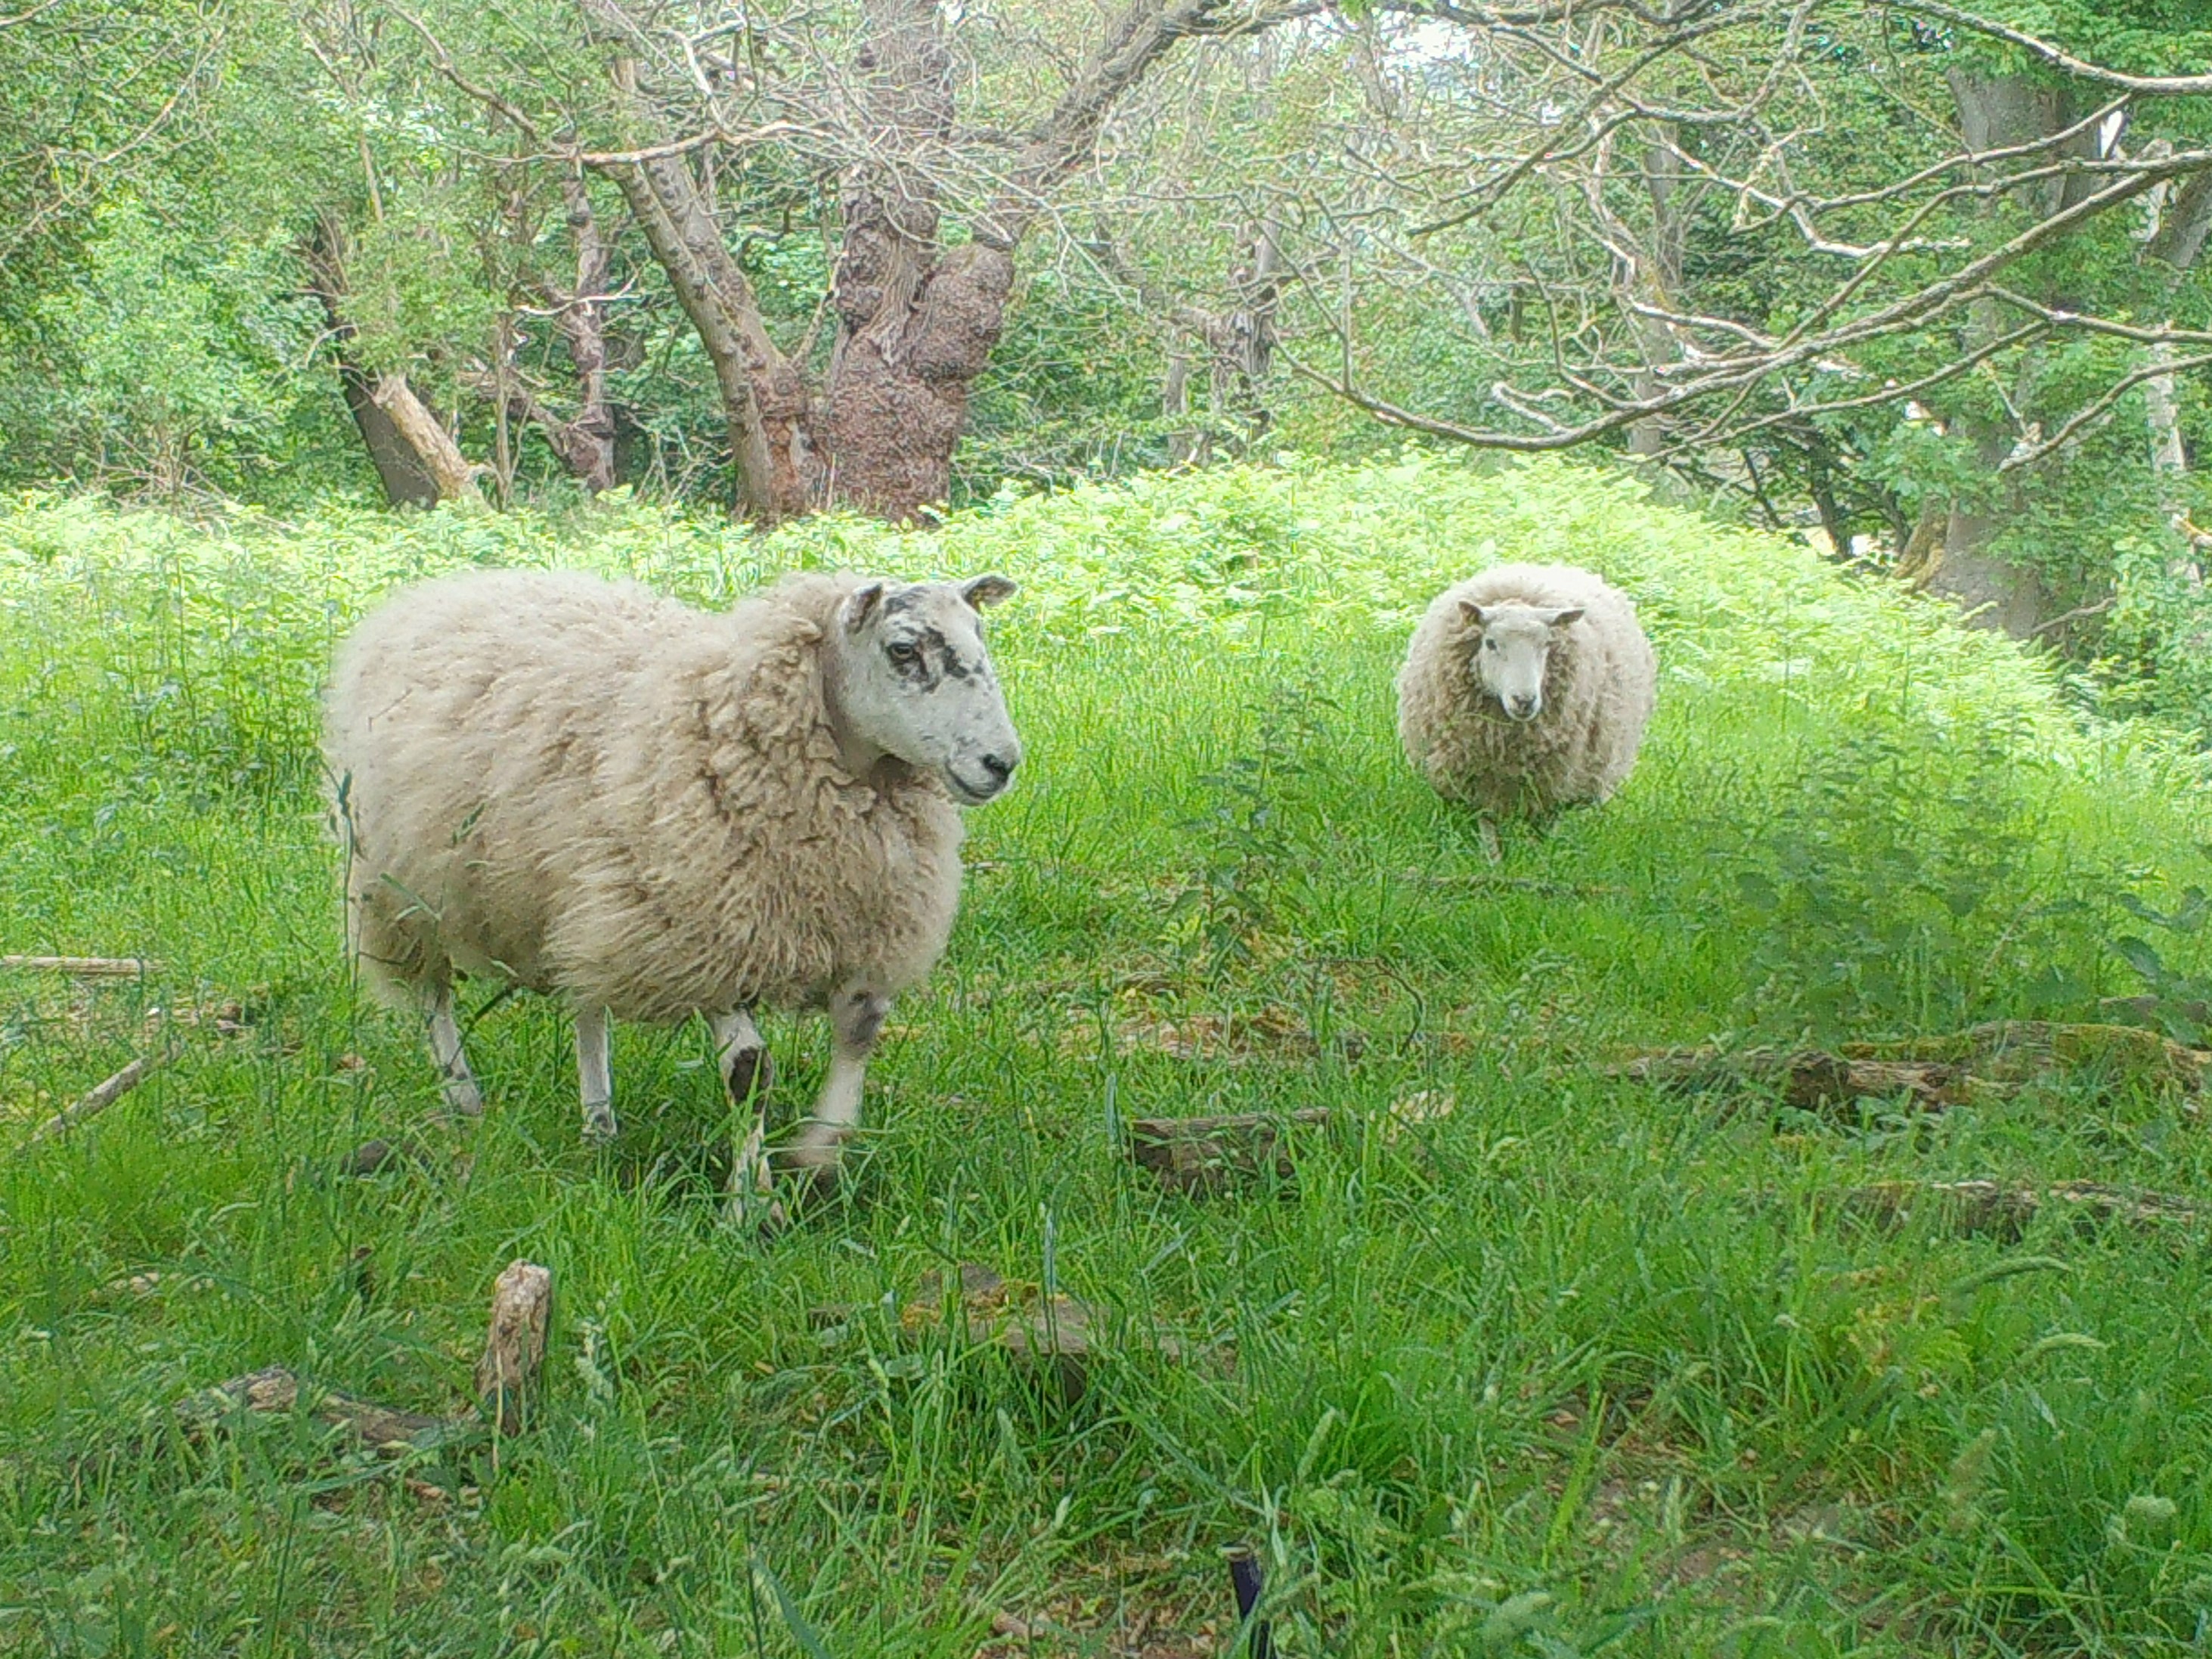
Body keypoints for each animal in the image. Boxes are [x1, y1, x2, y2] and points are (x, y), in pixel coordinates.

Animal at [323, 570, 1026, 1220]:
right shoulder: (707, 935)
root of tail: (443, 588)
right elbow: (750, 1071)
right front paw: (752, 1205)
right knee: (432, 996)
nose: (1002, 763)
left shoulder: (860, 935)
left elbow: (859, 1032)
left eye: (980, 635)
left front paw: (819, 1155)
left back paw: (599, 1123)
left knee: (586, 1002)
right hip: (397, 887)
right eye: (903, 649)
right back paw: (464, 1098)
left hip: (585, 892)